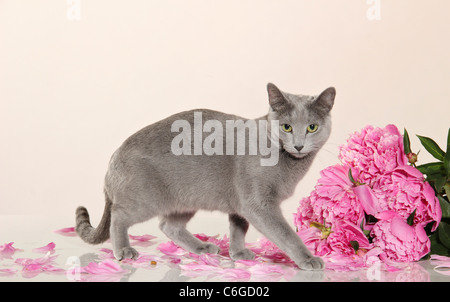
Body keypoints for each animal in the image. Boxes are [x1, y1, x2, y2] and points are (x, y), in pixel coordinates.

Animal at [75, 83, 334, 272]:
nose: (299, 145)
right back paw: (124, 251)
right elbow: (286, 234)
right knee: (118, 215)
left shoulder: (241, 203)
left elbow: (239, 227)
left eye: (312, 127)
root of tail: (114, 157)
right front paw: (308, 259)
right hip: (145, 200)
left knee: (168, 226)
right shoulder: (258, 203)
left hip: (185, 198)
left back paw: (202, 248)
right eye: (287, 127)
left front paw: (238, 253)